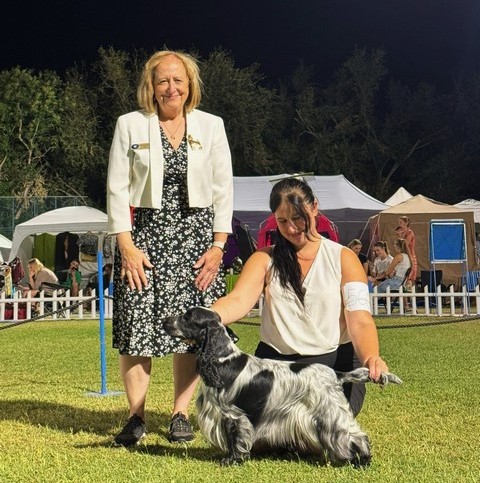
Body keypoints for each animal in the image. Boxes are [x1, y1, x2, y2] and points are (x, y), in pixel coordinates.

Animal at [163, 307, 402, 467]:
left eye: (187, 317)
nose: (165, 320)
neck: (223, 360)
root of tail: (336, 374)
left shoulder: (232, 414)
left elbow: (234, 438)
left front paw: (232, 460)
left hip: (330, 413)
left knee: (355, 436)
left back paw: (362, 460)